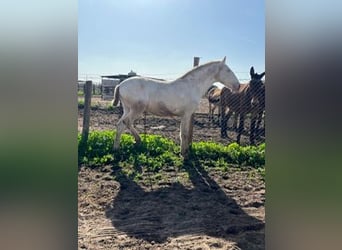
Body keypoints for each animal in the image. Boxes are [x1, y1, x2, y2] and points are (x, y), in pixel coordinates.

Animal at [111, 57, 239, 157]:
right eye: (228, 70)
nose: (237, 86)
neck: (192, 86)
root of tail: (120, 85)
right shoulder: (186, 114)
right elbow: (184, 134)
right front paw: (184, 154)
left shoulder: (185, 115)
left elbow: (183, 133)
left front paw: (184, 151)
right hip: (136, 109)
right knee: (126, 122)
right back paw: (136, 141)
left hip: (127, 109)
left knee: (120, 124)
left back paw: (117, 148)